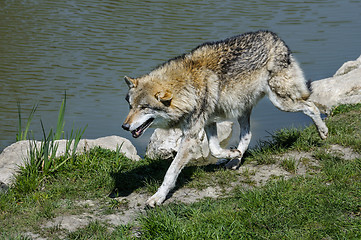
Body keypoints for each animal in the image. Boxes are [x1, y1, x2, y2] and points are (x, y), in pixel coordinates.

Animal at [122, 29, 328, 206]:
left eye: (143, 107)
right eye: (130, 106)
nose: (124, 126)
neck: (186, 87)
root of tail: (275, 37)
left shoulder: (190, 136)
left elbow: (171, 172)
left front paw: (157, 197)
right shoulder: (208, 123)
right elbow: (215, 149)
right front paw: (232, 153)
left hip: (280, 103)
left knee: (311, 106)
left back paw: (323, 131)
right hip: (243, 109)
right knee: (247, 135)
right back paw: (235, 161)